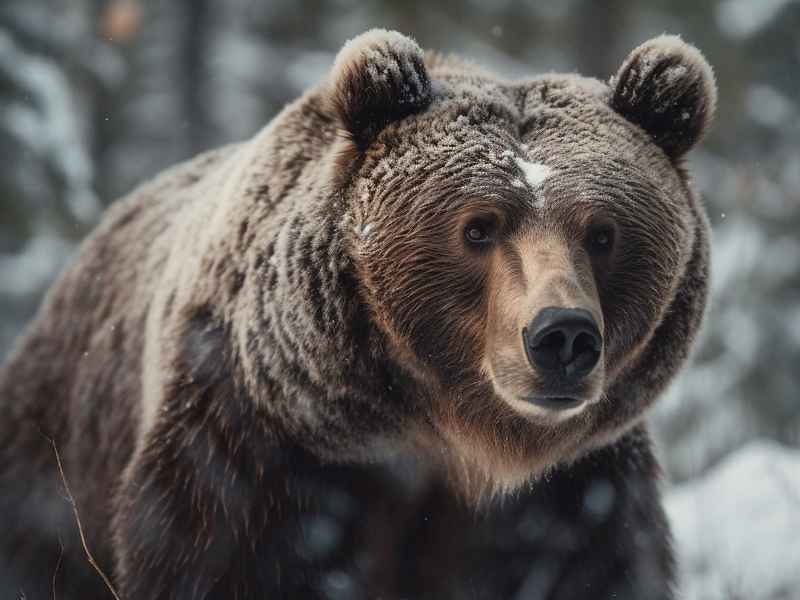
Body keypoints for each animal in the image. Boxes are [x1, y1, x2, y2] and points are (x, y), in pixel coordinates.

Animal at [0, 29, 715, 600]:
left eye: (602, 233)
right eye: (478, 228)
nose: (560, 335)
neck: (450, 444)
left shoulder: (575, 494)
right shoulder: (255, 452)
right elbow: (219, 560)